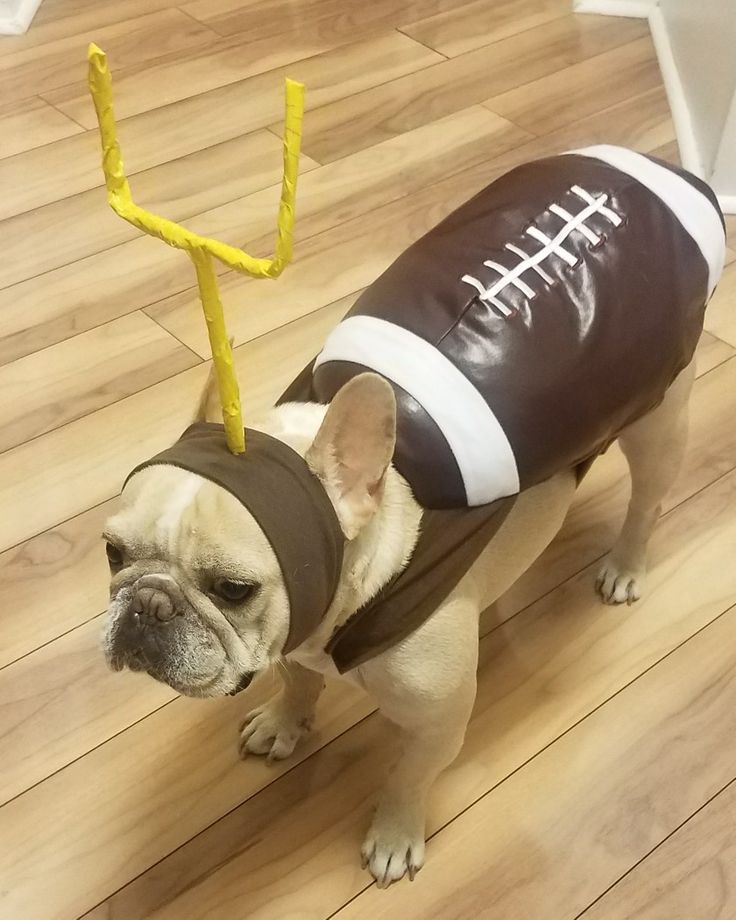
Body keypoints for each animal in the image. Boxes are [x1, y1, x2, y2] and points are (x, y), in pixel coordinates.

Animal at [102, 147, 724, 888]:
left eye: (233, 589)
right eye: (112, 553)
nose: (148, 604)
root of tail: (657, 169)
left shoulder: (437, 721)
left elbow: (408, 776)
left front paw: (394, 836)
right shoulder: (295, 639)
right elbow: (299, 680)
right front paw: (286, 720)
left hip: (659, 418)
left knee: (648, 499)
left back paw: (625, 566)